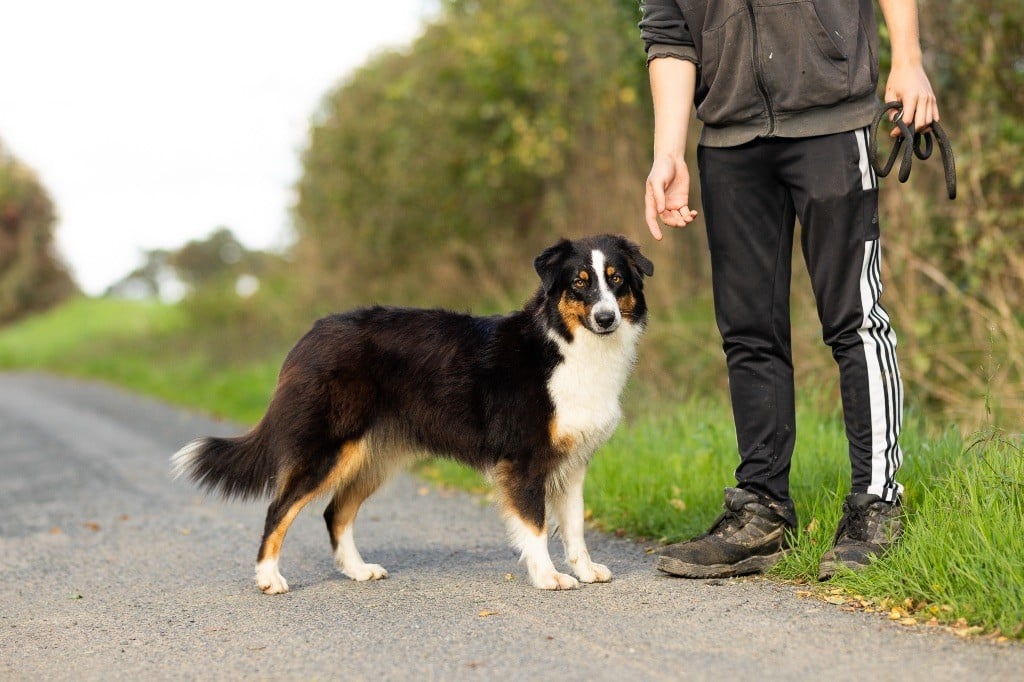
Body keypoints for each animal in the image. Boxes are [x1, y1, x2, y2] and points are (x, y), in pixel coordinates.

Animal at [171, 232, 651, 589]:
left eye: (616, 280)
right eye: (580, 282)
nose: (606, 318)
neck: (566, 346)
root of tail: (311, 334)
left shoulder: (573, 461)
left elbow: (574, 526)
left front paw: (585, 570)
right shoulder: (525, 460)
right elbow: (534, 525)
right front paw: (549, 576)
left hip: (374, 456)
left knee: (334, 512)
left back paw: (358, 570)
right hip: (327, 449)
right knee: (279, 508)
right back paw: (269, 578)